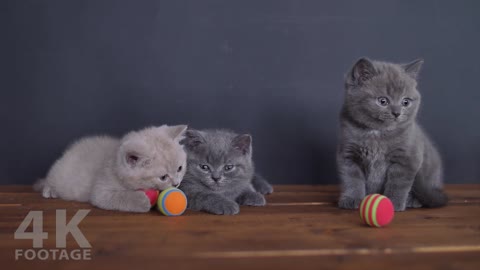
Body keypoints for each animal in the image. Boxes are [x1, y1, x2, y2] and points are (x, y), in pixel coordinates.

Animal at [33, 125, 188, 212]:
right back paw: (50, 190)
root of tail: (68, 153)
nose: (176, 184)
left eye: (179, 168)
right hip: (60, 174)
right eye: (163, 177)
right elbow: (120, 196)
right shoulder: (100, 191)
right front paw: (142, 201)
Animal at [338, 58, 446, 212]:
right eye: (383, 101)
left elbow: (398, 183)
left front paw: (394, 202)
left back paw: (413, 200)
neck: (377, 134)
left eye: (405, 102)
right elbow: (352, 179)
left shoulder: (407, 159)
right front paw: (352, 199)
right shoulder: (348, 154)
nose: (397, 113)